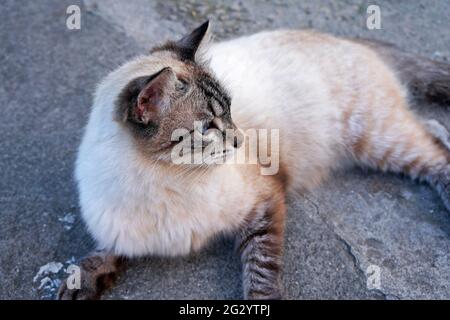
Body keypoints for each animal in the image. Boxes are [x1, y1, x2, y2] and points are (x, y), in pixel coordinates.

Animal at [58, 22, 450, 300]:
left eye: (230, 111)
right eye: (208, 127)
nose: (240, 139)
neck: (164, 177)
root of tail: (346, 39)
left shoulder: (263, 204)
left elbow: (261, 270)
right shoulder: (123, 230)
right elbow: (104, 252)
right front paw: (83, 281)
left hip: (378, 141)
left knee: (435, 156)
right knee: (434, 128)